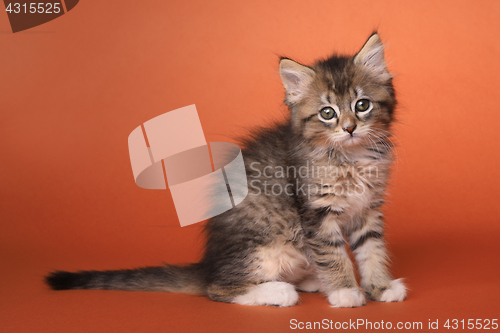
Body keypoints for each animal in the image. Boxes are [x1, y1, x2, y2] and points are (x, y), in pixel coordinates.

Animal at [46, 33, 406, 306]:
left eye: (362, 105)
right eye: (327, 113)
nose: (349, 128)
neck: (351, 158)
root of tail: (209, 263)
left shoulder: (368, 208)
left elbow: (372, 250)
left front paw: (380, 287)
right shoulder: (317, 213)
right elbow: (333, 254)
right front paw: (346, 292)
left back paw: (311, 281)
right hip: (268, 248)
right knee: (218, 289)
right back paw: (280, 291)